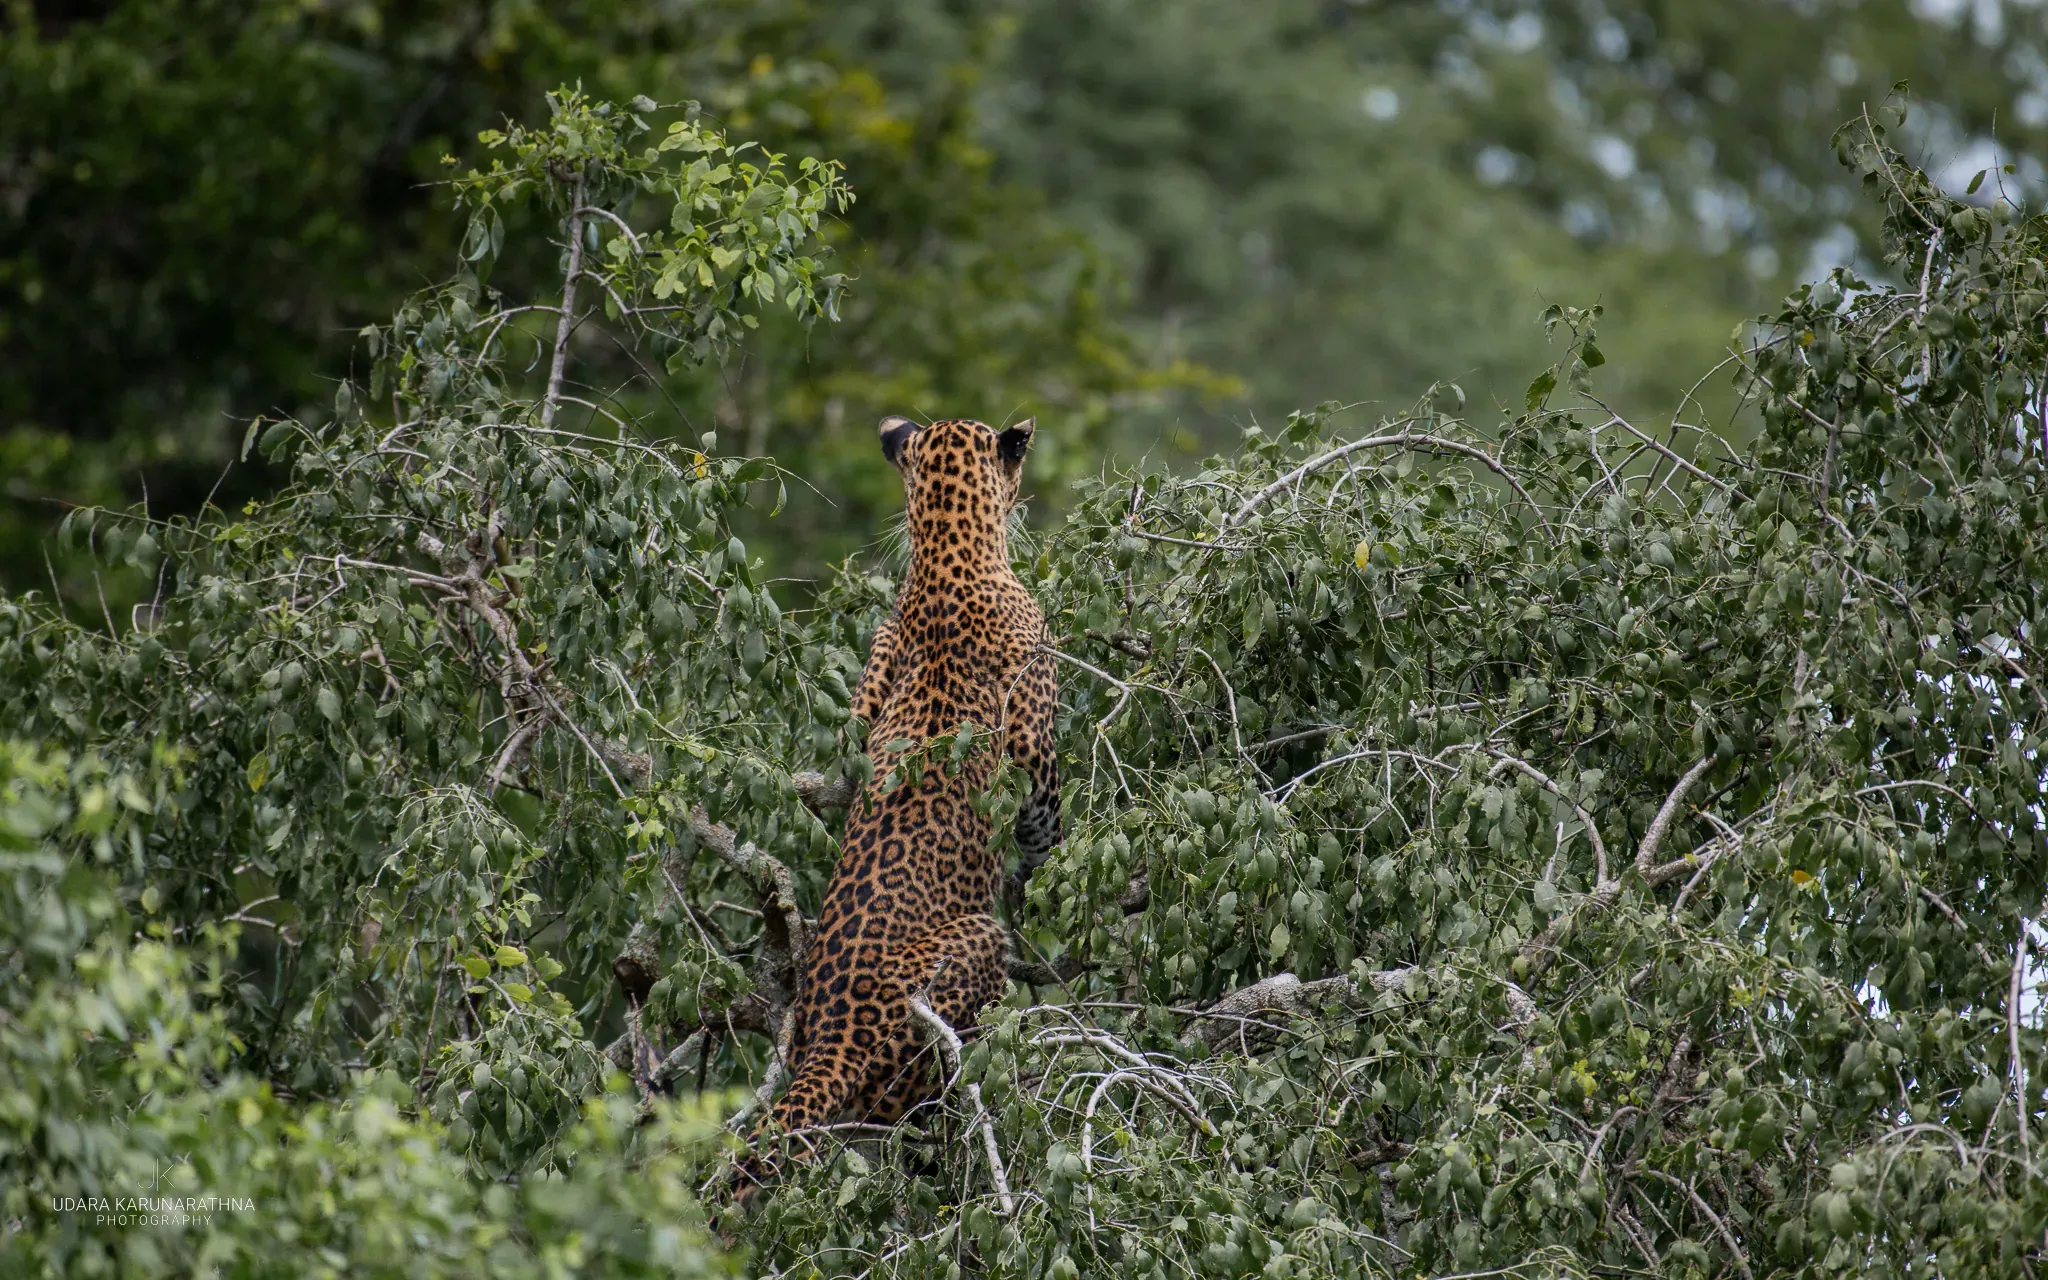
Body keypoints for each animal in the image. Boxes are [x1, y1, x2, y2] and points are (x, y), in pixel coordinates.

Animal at [735, 415, 1062, 1195]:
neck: (946, 554)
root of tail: (826, 1044)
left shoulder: (870, 681)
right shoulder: (1033, 717)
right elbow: (1042, 809)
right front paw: (1038, 867)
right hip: (972, 945)